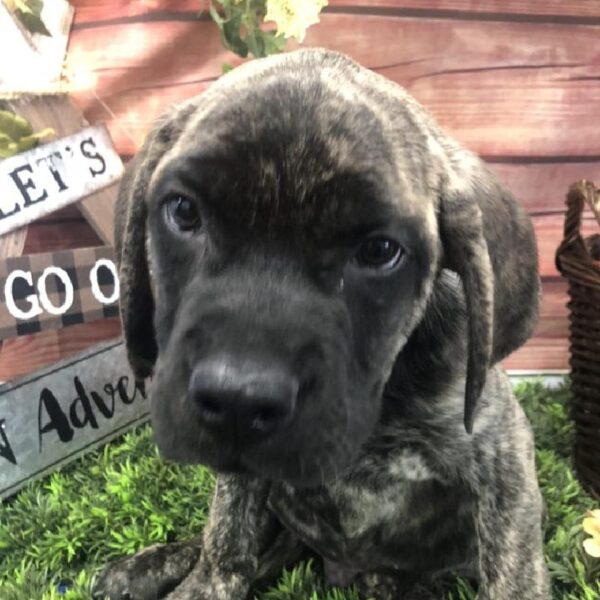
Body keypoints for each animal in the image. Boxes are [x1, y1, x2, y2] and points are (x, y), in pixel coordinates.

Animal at [96, 48, 552, 600]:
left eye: (380, 251)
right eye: (183, 211)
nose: (237, 399)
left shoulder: (501, 459)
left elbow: (513, 568)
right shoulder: (241, 474)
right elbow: (226, 534)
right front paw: (203, 582)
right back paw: (149, 565)